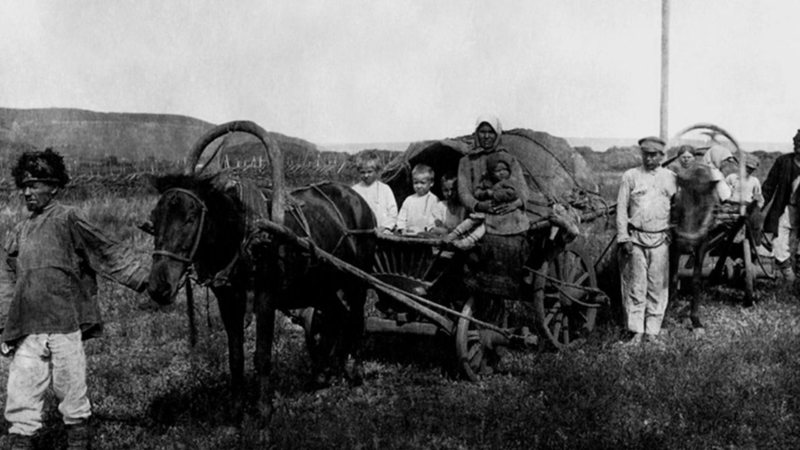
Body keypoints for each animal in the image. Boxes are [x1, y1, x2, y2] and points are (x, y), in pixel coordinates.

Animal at [146, 129, 376, 422]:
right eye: (154, 219)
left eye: (190, 218)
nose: (158, 286)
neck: (246, 235)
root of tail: (357, 199)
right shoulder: (227, 299)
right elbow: (235, 357)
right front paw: (235, 410)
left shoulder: (266, 297)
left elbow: (262, 354)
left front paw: (263, 410)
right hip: (321, 286)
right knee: (337, 317)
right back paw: (325, 372)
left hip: (358, 280)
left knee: (356, 318)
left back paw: (354, 371)